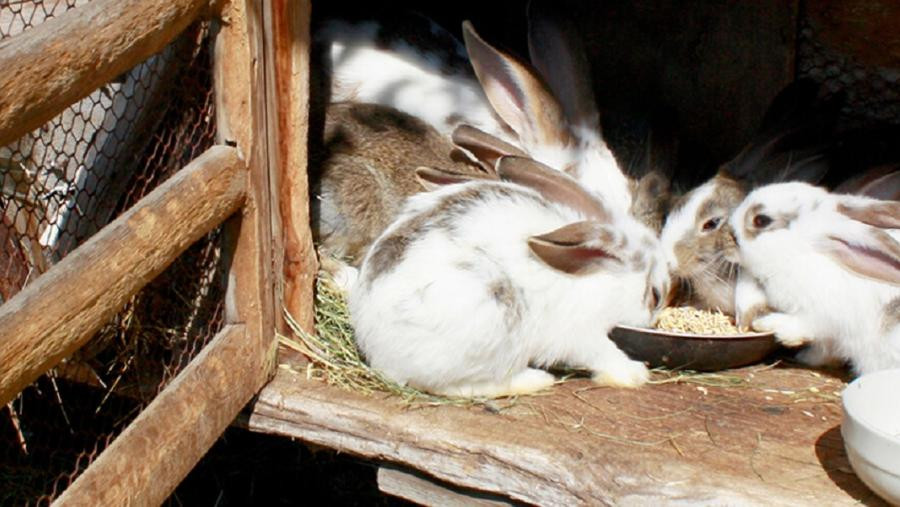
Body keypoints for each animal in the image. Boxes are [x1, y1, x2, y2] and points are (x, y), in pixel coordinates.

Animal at [348, 155, 672, 396]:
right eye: (655, 295)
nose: (654, 320)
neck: (595, 274)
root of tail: (375, 344)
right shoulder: (580, 334)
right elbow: (605, 353)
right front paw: (635, 375)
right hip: (491, 321)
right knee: (454, 386)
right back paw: (535, 380)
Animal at [728, 181, 900, 376]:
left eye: (761, 220)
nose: (728, 232)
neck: (803, 254)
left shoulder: (824, 317)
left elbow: (804, 327)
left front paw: (766, 324)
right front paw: (805, 358)